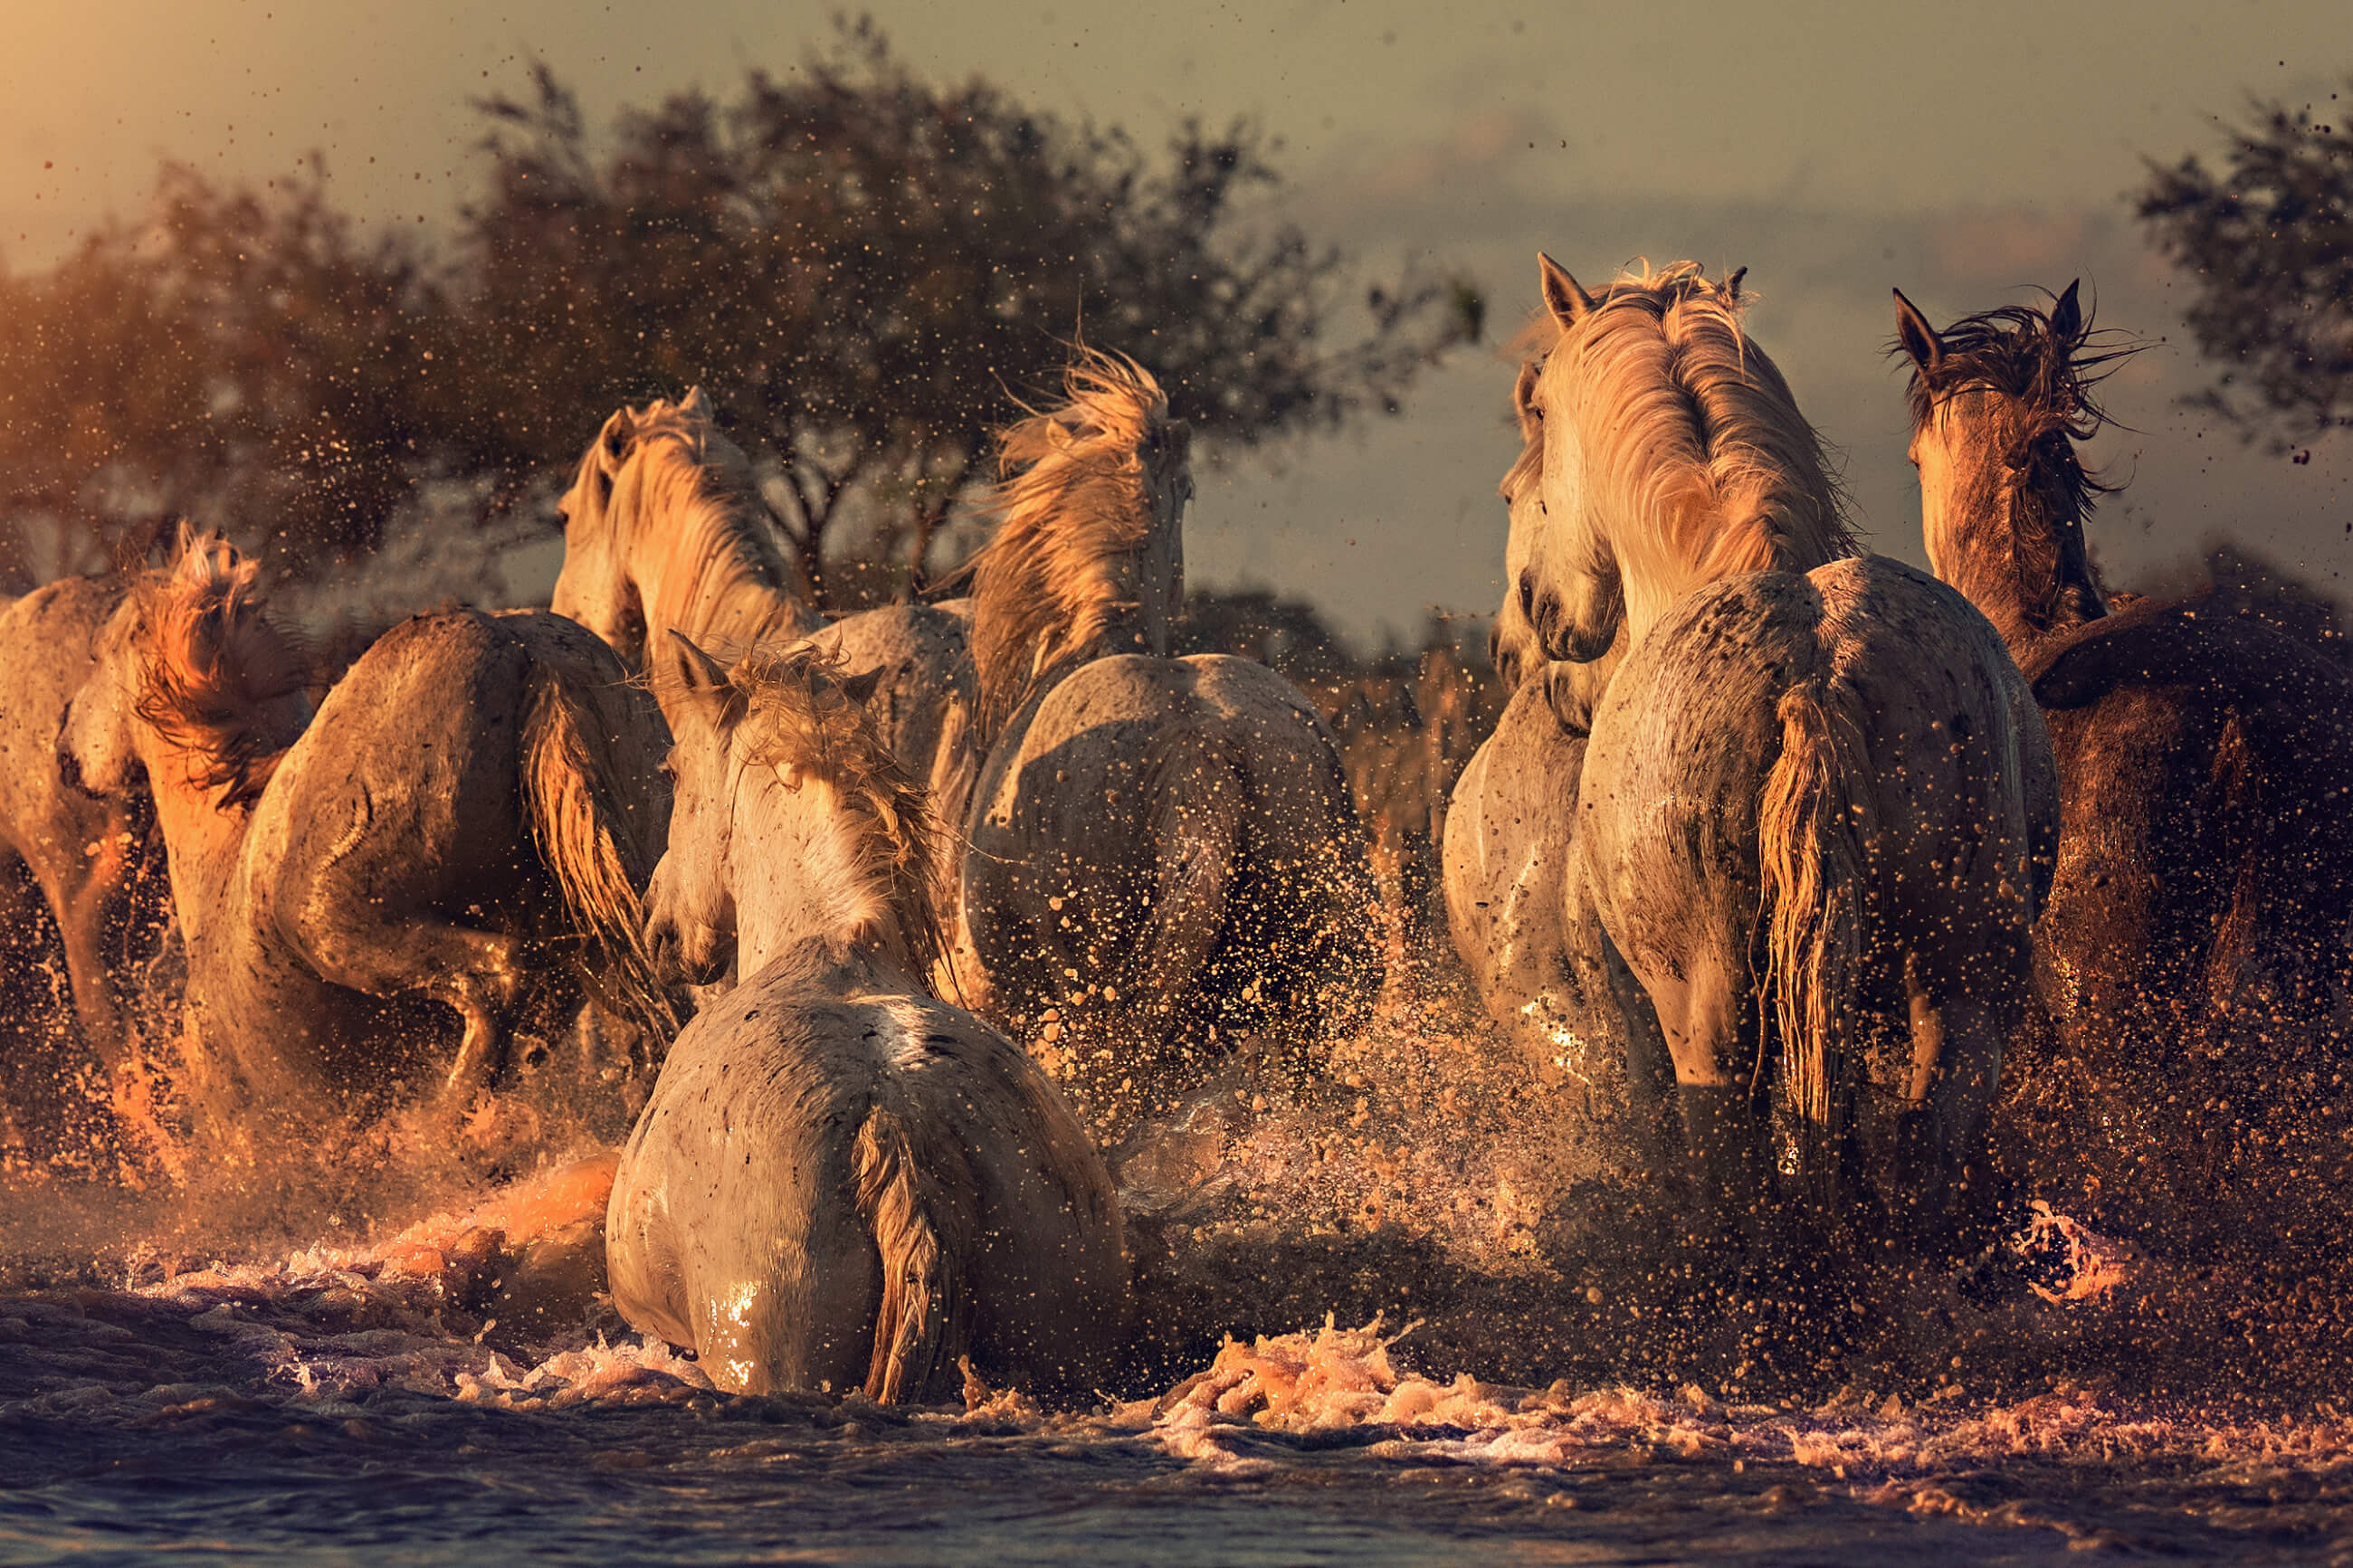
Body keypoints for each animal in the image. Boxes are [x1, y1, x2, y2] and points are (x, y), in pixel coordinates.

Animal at [60, 533, 676, 1154]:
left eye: (96, 657)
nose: (64, 753)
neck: (223, 874)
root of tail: (527, 652)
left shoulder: (244, 1134)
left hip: (338, 927)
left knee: (498, 980)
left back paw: (441, 1141)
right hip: (614, 930)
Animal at [1518, 258, 2057, 1251]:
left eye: (1539, 412)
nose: (1541, 610)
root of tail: (1819, 671)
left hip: (1709, 1024)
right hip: (1962, 986)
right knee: (1929, 1149)